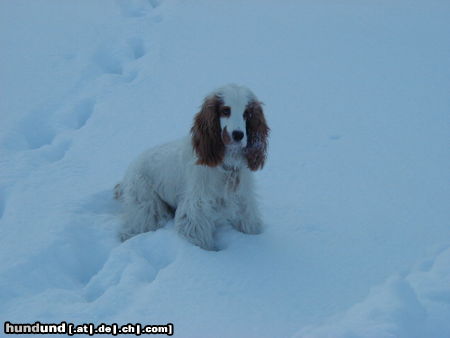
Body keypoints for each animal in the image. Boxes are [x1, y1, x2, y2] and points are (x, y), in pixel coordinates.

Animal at [116, 83, 268, 250]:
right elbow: (200, 240)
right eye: (225, 110)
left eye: (247, 113)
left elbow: (249, 223)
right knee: (130, 230)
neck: (226, 166)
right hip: (147, 206)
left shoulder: (243, 200)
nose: (238, 135)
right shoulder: (195, 211)